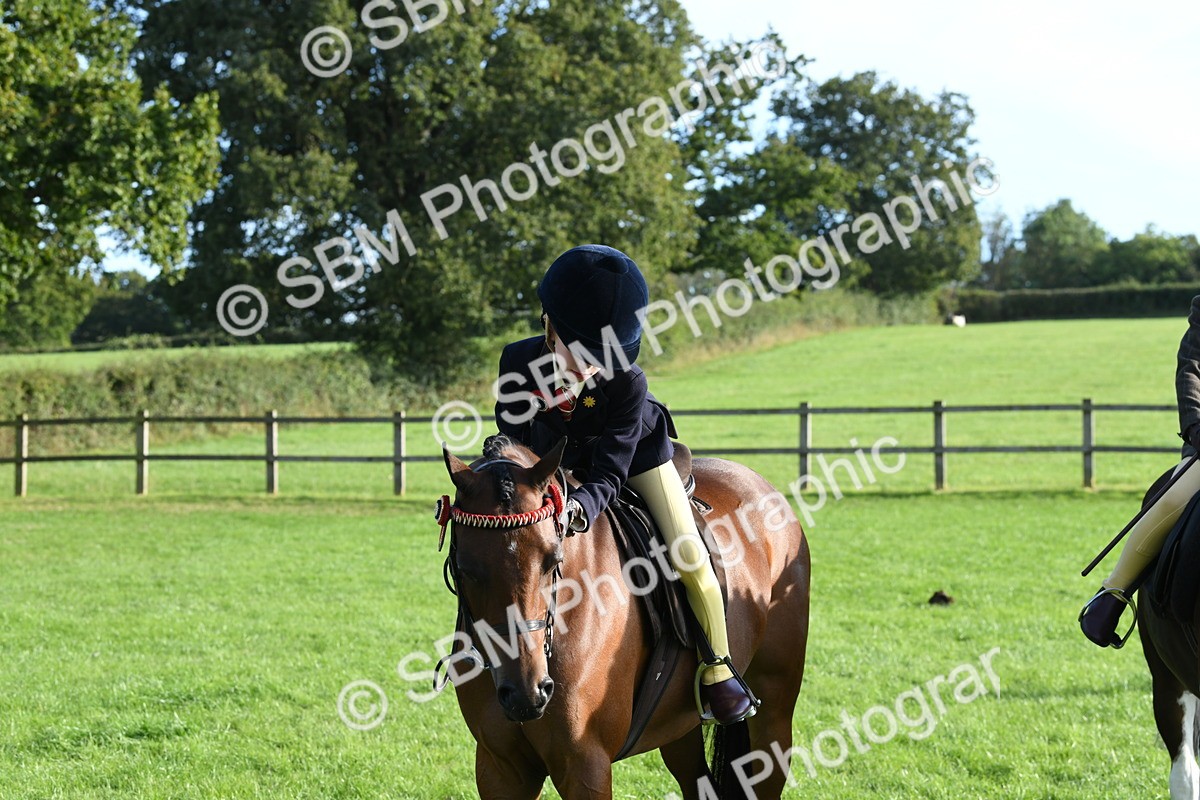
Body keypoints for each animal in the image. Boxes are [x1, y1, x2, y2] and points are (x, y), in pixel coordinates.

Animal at [435, 434, 810, 799]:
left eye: (553, 560)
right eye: (464, 568)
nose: (526, 693)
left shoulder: (586, 767)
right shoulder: (500, 769)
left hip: (774, 712)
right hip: (678, 727)